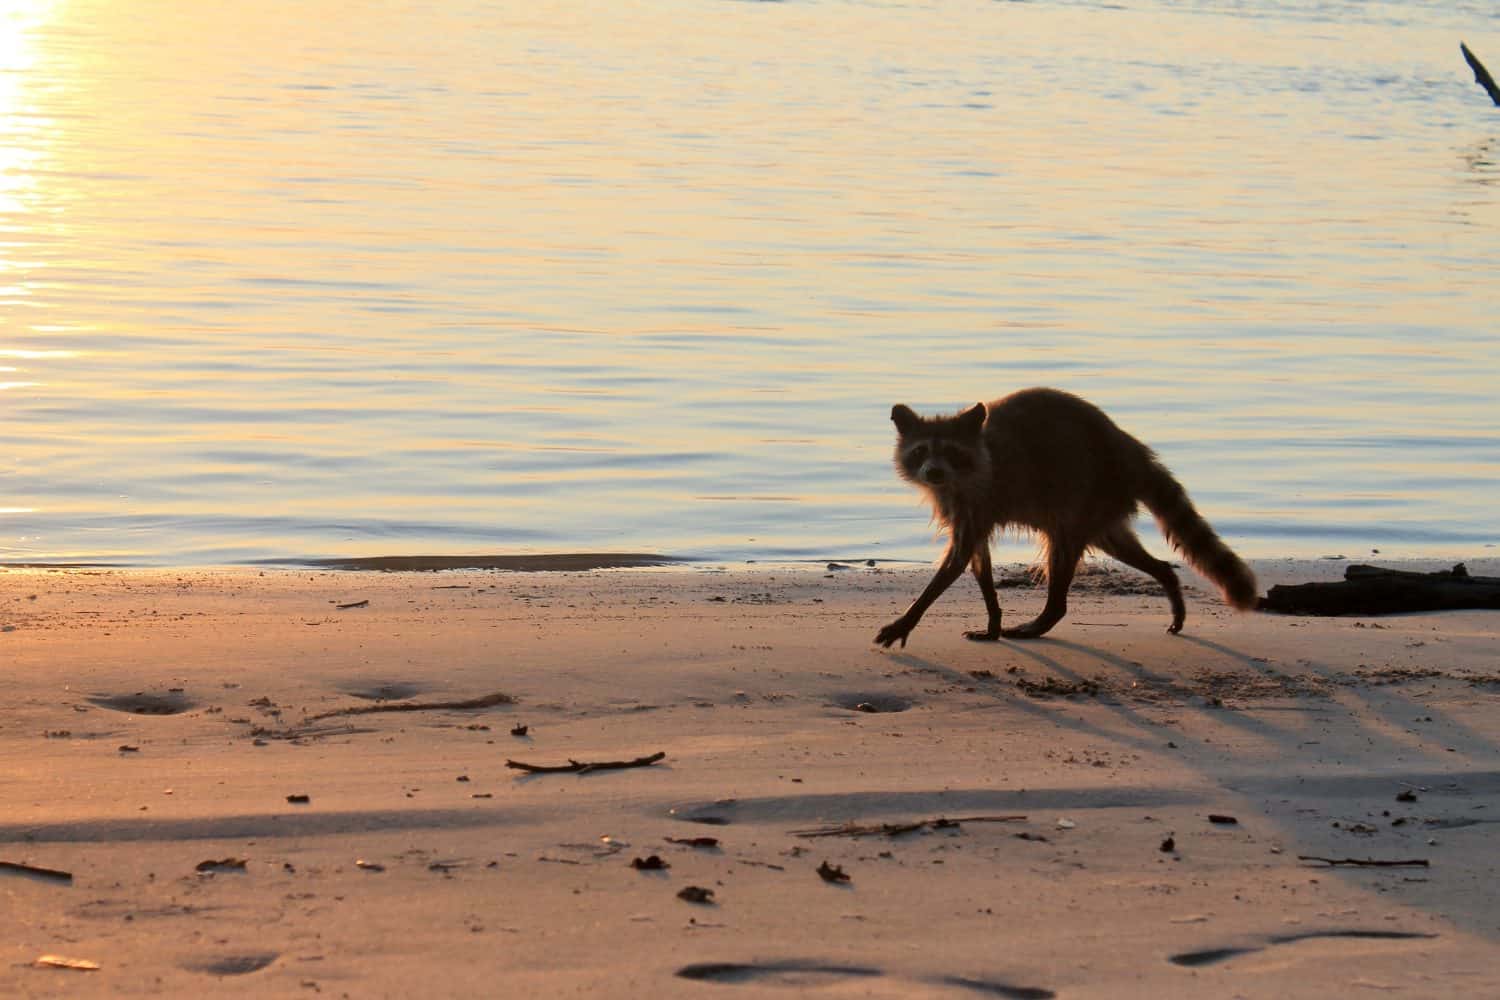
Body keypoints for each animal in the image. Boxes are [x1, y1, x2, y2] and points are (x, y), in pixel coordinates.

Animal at [875, 387, 1257, 646]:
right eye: (921, 451)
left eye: (952, 453)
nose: (933, 472)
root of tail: (1130, 449)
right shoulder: (962, 507)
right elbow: (977, 559)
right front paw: (993, 618)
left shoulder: (981, 496)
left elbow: (955, 561)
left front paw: (909, 617)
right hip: (1104, 507)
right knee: (1122, 547)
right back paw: (1167, 578)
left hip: (1088, 490)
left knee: (1061, 546)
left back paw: (1047, 615)